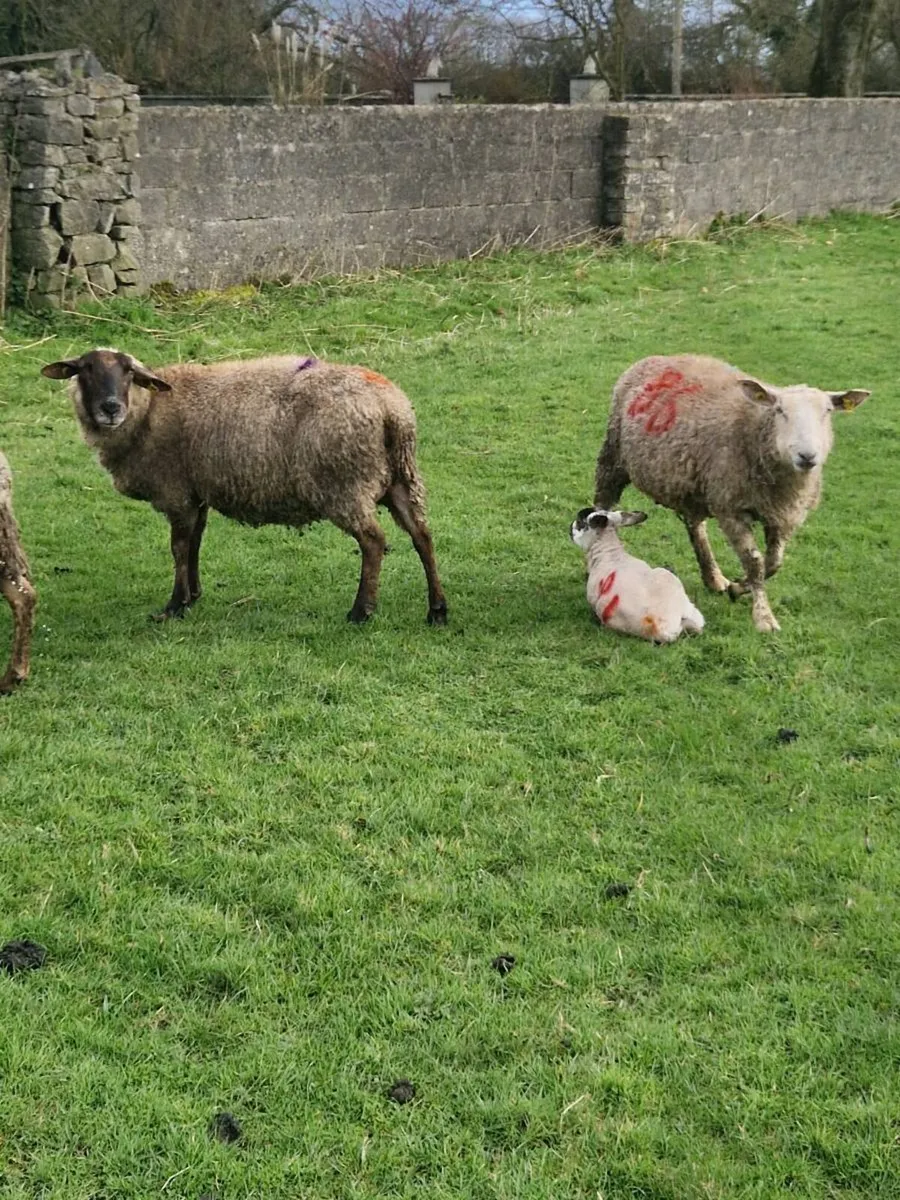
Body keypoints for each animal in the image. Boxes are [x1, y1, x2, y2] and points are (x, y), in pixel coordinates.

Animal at [41, 349, 447, 626]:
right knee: (422, 536)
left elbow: (178, 548)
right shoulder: (196, 492)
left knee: (374, 542)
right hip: (401, 477)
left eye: (128, 372)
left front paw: (174, 606)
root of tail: (390, 408)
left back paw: (361, 611)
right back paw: (437, 610)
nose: (110, 407)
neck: (147, 412)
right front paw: (193, 596)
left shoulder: (176, 492)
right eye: (85, 370)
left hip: (344, 483)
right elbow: (195, 543)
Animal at [594, 354, 870, 632]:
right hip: (614, 456)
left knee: (696, 527)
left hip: (694, 486)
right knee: (602, 502)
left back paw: (714, 577)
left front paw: (738, 588)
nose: (807, 456)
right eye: (779, 410)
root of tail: (656, 358)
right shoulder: (731, 509)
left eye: (827, 411)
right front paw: (763, 617)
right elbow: (755, 562)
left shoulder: (783, 515)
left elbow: (773, 563)